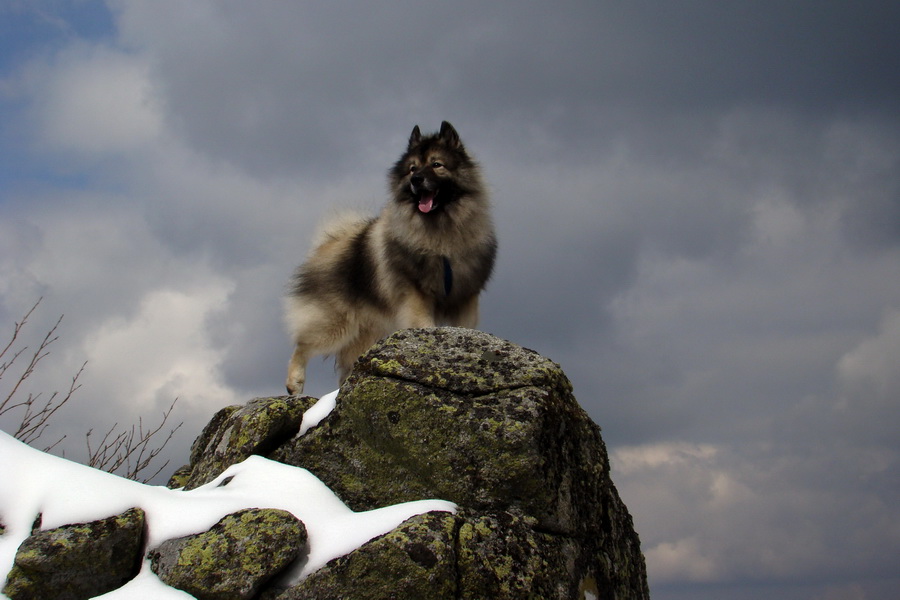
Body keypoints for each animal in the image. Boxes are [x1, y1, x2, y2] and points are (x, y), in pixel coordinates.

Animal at [286, 121, 500, 394]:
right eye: (412, 168)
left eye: (437, 164)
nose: (416, 179)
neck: (440, 234)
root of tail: (330, 242)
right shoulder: (416, 295)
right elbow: (424, 324)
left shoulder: (465, 298)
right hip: (335, 323)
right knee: (302, 345)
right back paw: (294, 384)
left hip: (366, 333)